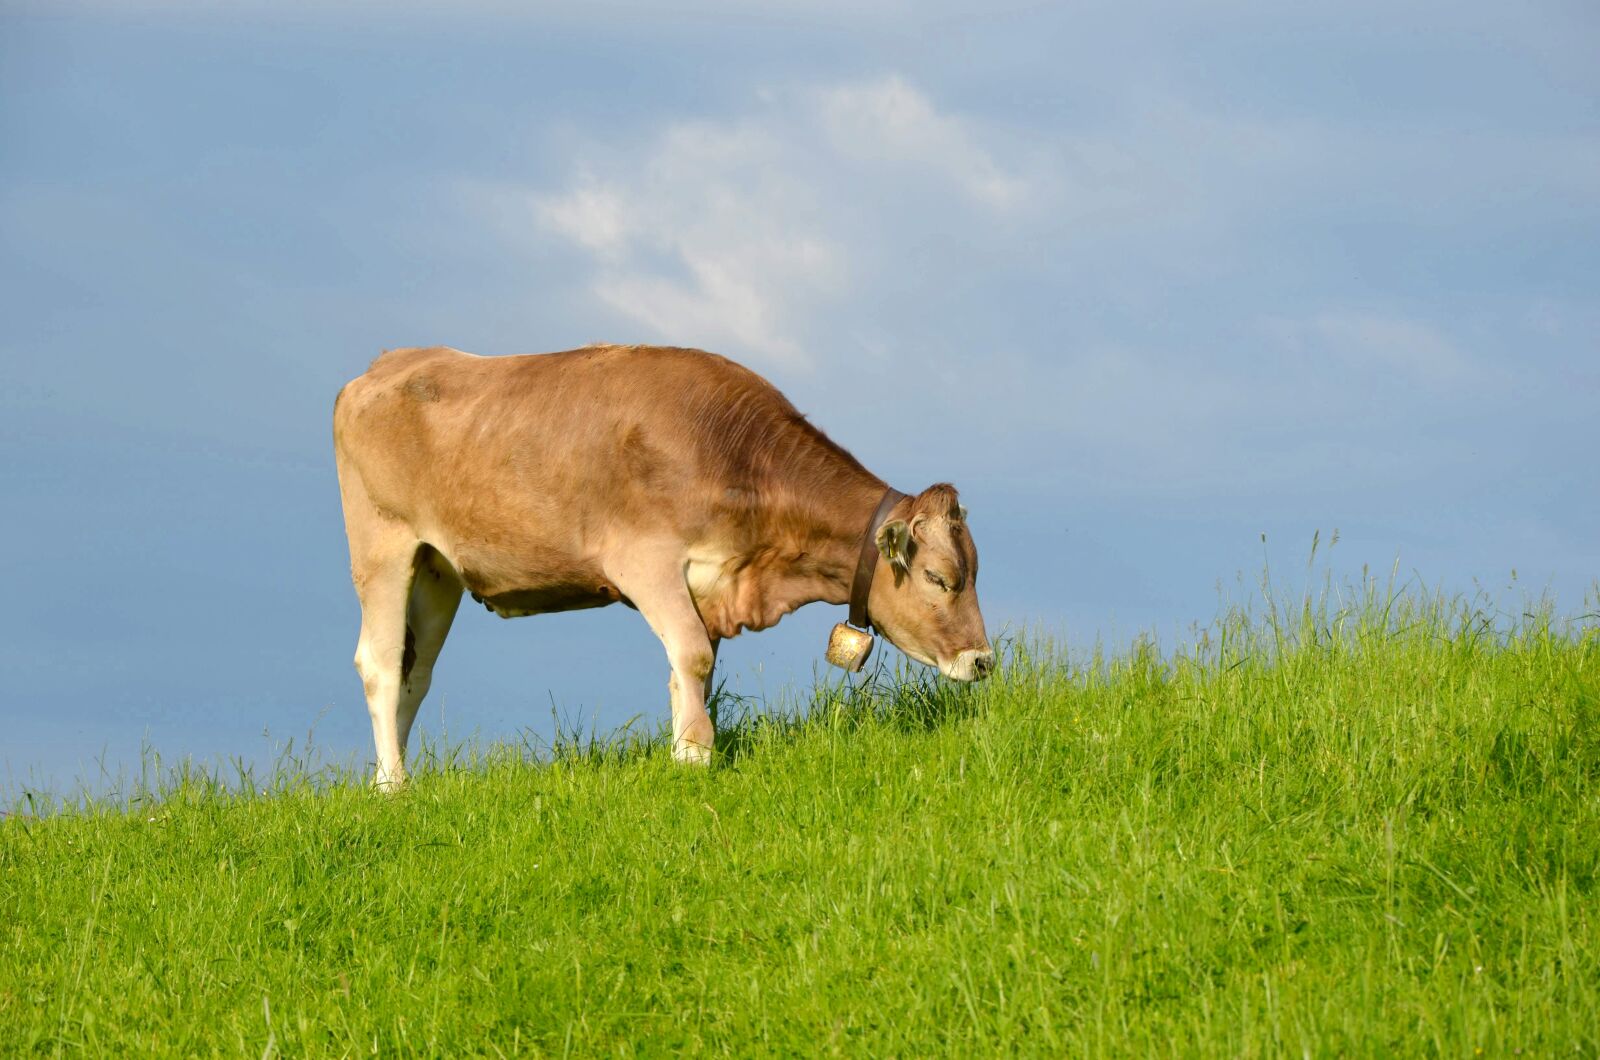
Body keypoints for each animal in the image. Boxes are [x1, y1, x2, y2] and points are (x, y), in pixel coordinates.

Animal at [333, 344, 994, 788]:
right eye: (939, 578)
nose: (983, 661)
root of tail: (387, 363)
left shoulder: (706, 584)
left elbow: (688, 666)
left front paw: (680, 751)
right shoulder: (644, 561)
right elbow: (693, 656)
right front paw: (698, 756)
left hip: (437, 569)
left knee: (415, 673)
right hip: (383, 546)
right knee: (380, 665)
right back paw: (392, 786)